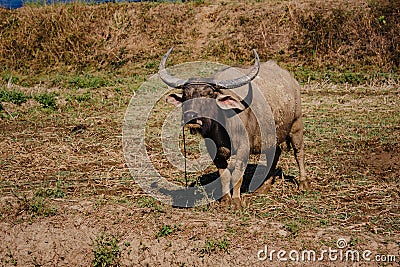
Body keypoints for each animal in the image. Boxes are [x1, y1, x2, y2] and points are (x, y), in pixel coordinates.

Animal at [159, 48, 310, 209]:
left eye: (209, 94)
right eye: (186, 95)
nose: (191, 117)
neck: (222, 127)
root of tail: (292, 80)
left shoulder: (244, 149)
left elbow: (237, 175)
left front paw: (236, 201)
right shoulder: (215, 152)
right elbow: (225, 176)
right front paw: (226, 199)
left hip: (296, 125)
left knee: (299, 152)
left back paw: (303, 183)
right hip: (272, 135)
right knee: (274, 154)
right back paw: (264, 186)